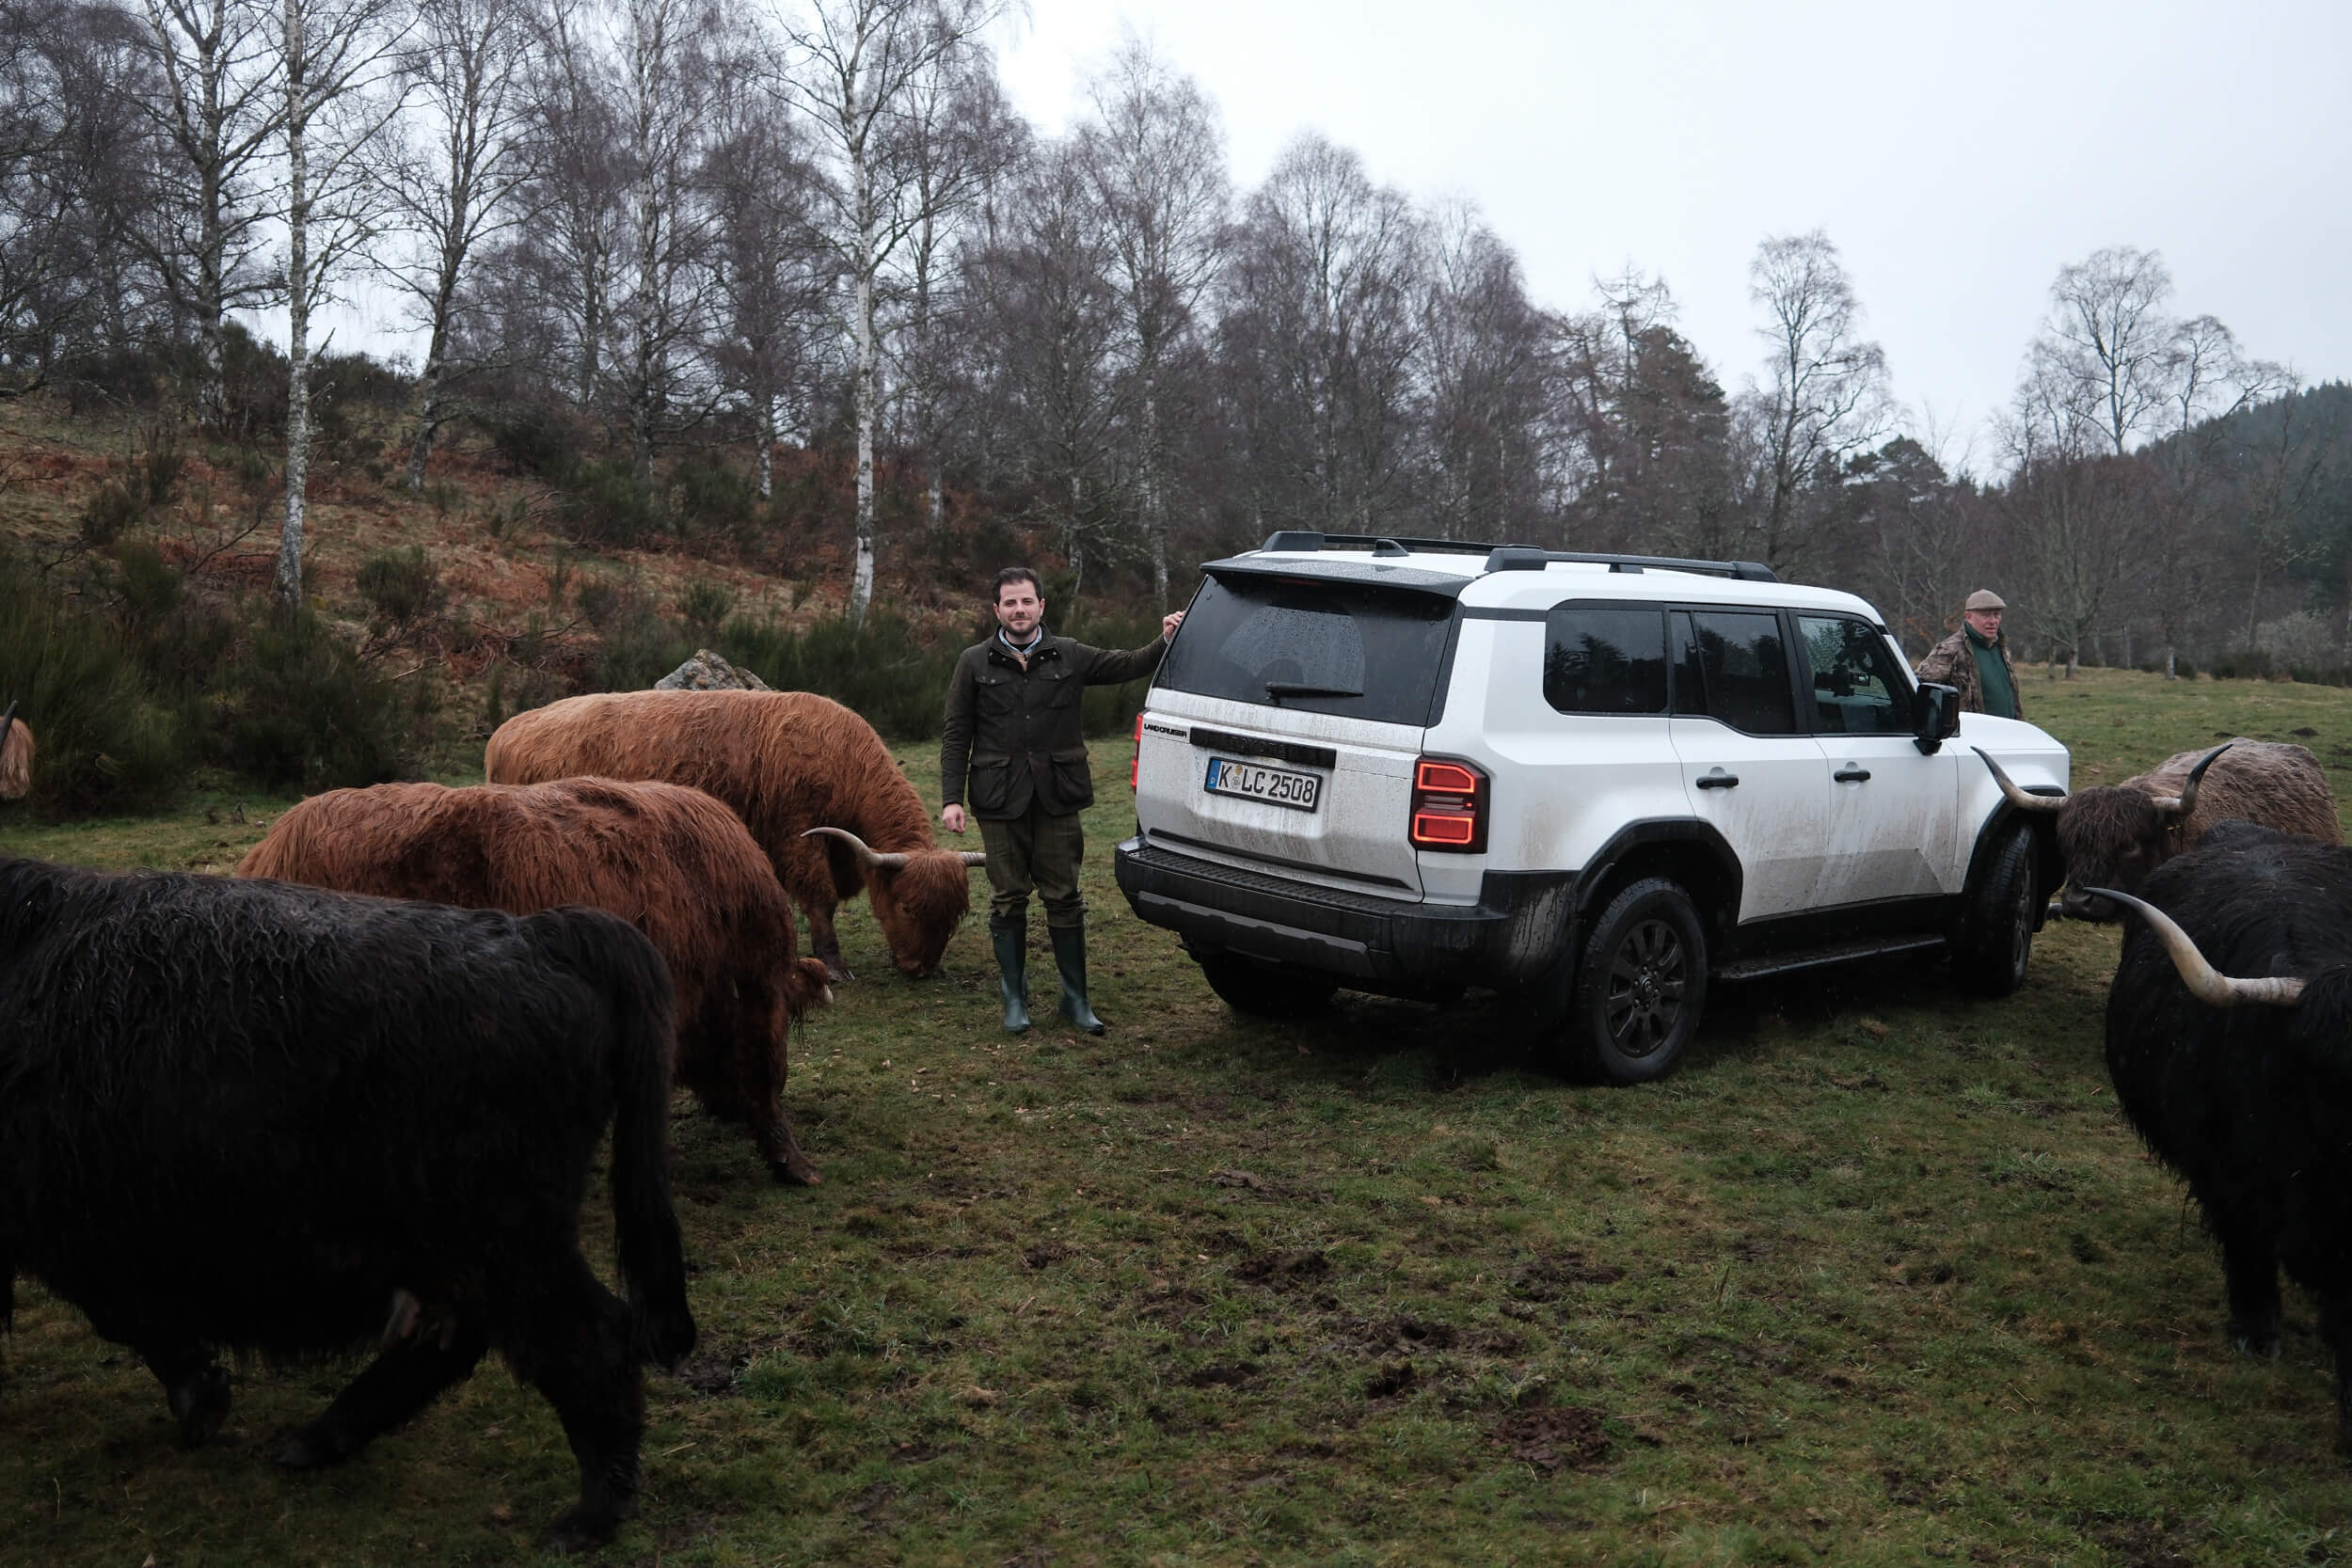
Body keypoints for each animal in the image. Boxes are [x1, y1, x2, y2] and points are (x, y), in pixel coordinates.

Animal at [0, 860, 696, 1560]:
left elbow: (132, 1320)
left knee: (592, 1338)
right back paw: (318, 1440)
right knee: (458, 1345)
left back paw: (589, 1516)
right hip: (465, 1255)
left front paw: (201, 1398)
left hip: (503, 1245)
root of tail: (543, 935)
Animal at [486, 690, 983, 982]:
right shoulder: (797, 835)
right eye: (908, 907)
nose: (921, 969)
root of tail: (507, 730)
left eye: (954, 916)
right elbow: (820, 900)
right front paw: (833, 963)